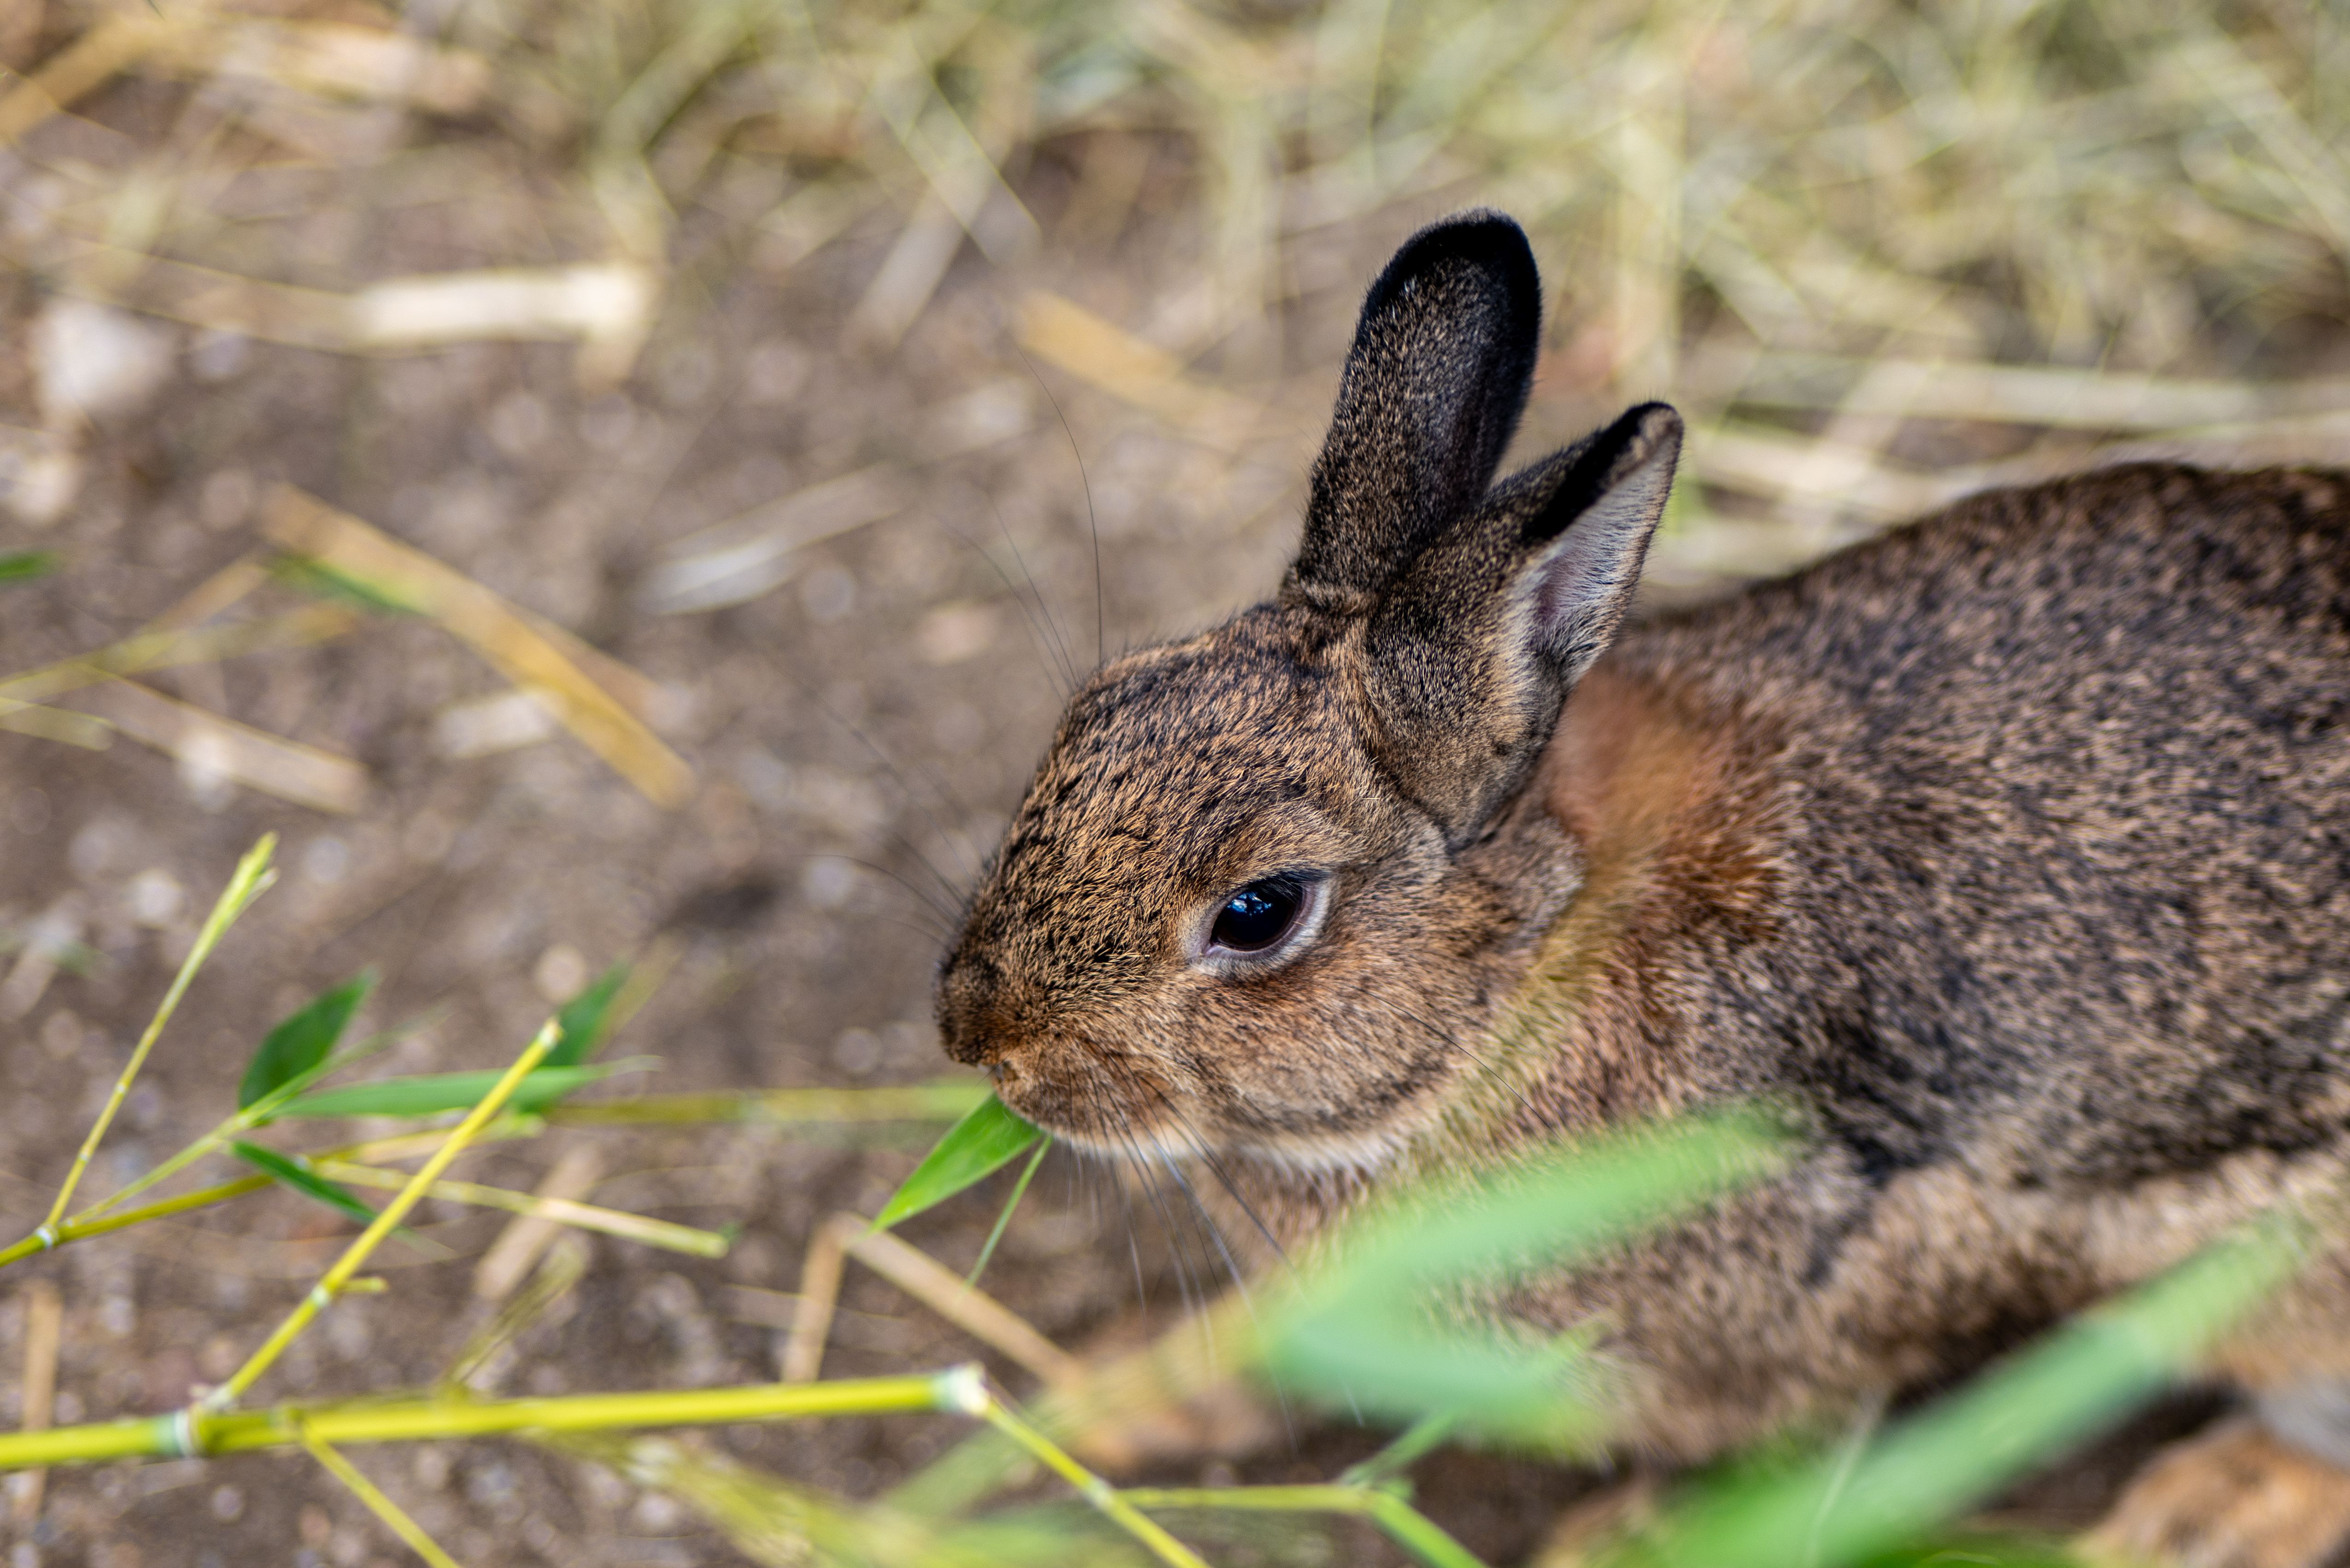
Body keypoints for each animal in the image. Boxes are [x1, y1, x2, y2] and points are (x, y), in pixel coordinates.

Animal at [934, 209, 2350, 1563]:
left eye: (1259, 911)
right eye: (1094, 707)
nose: (980, 1038)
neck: (1519, 968)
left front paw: (1616, 1541)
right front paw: (1103, 1395)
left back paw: (2200, 1513)